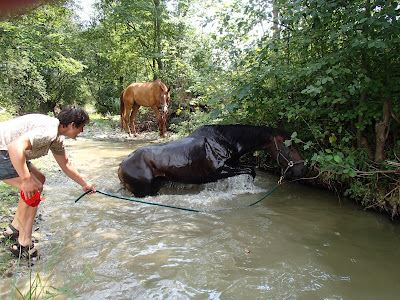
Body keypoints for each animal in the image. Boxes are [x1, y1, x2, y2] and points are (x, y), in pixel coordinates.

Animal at [118, 125, 306, 198]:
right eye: (287, 145)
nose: (302, 168)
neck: (226, 141)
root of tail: (120, 167)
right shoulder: (219, 172)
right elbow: (251, 171)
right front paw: (247, 187)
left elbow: (250, 170)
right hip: (145, 191)